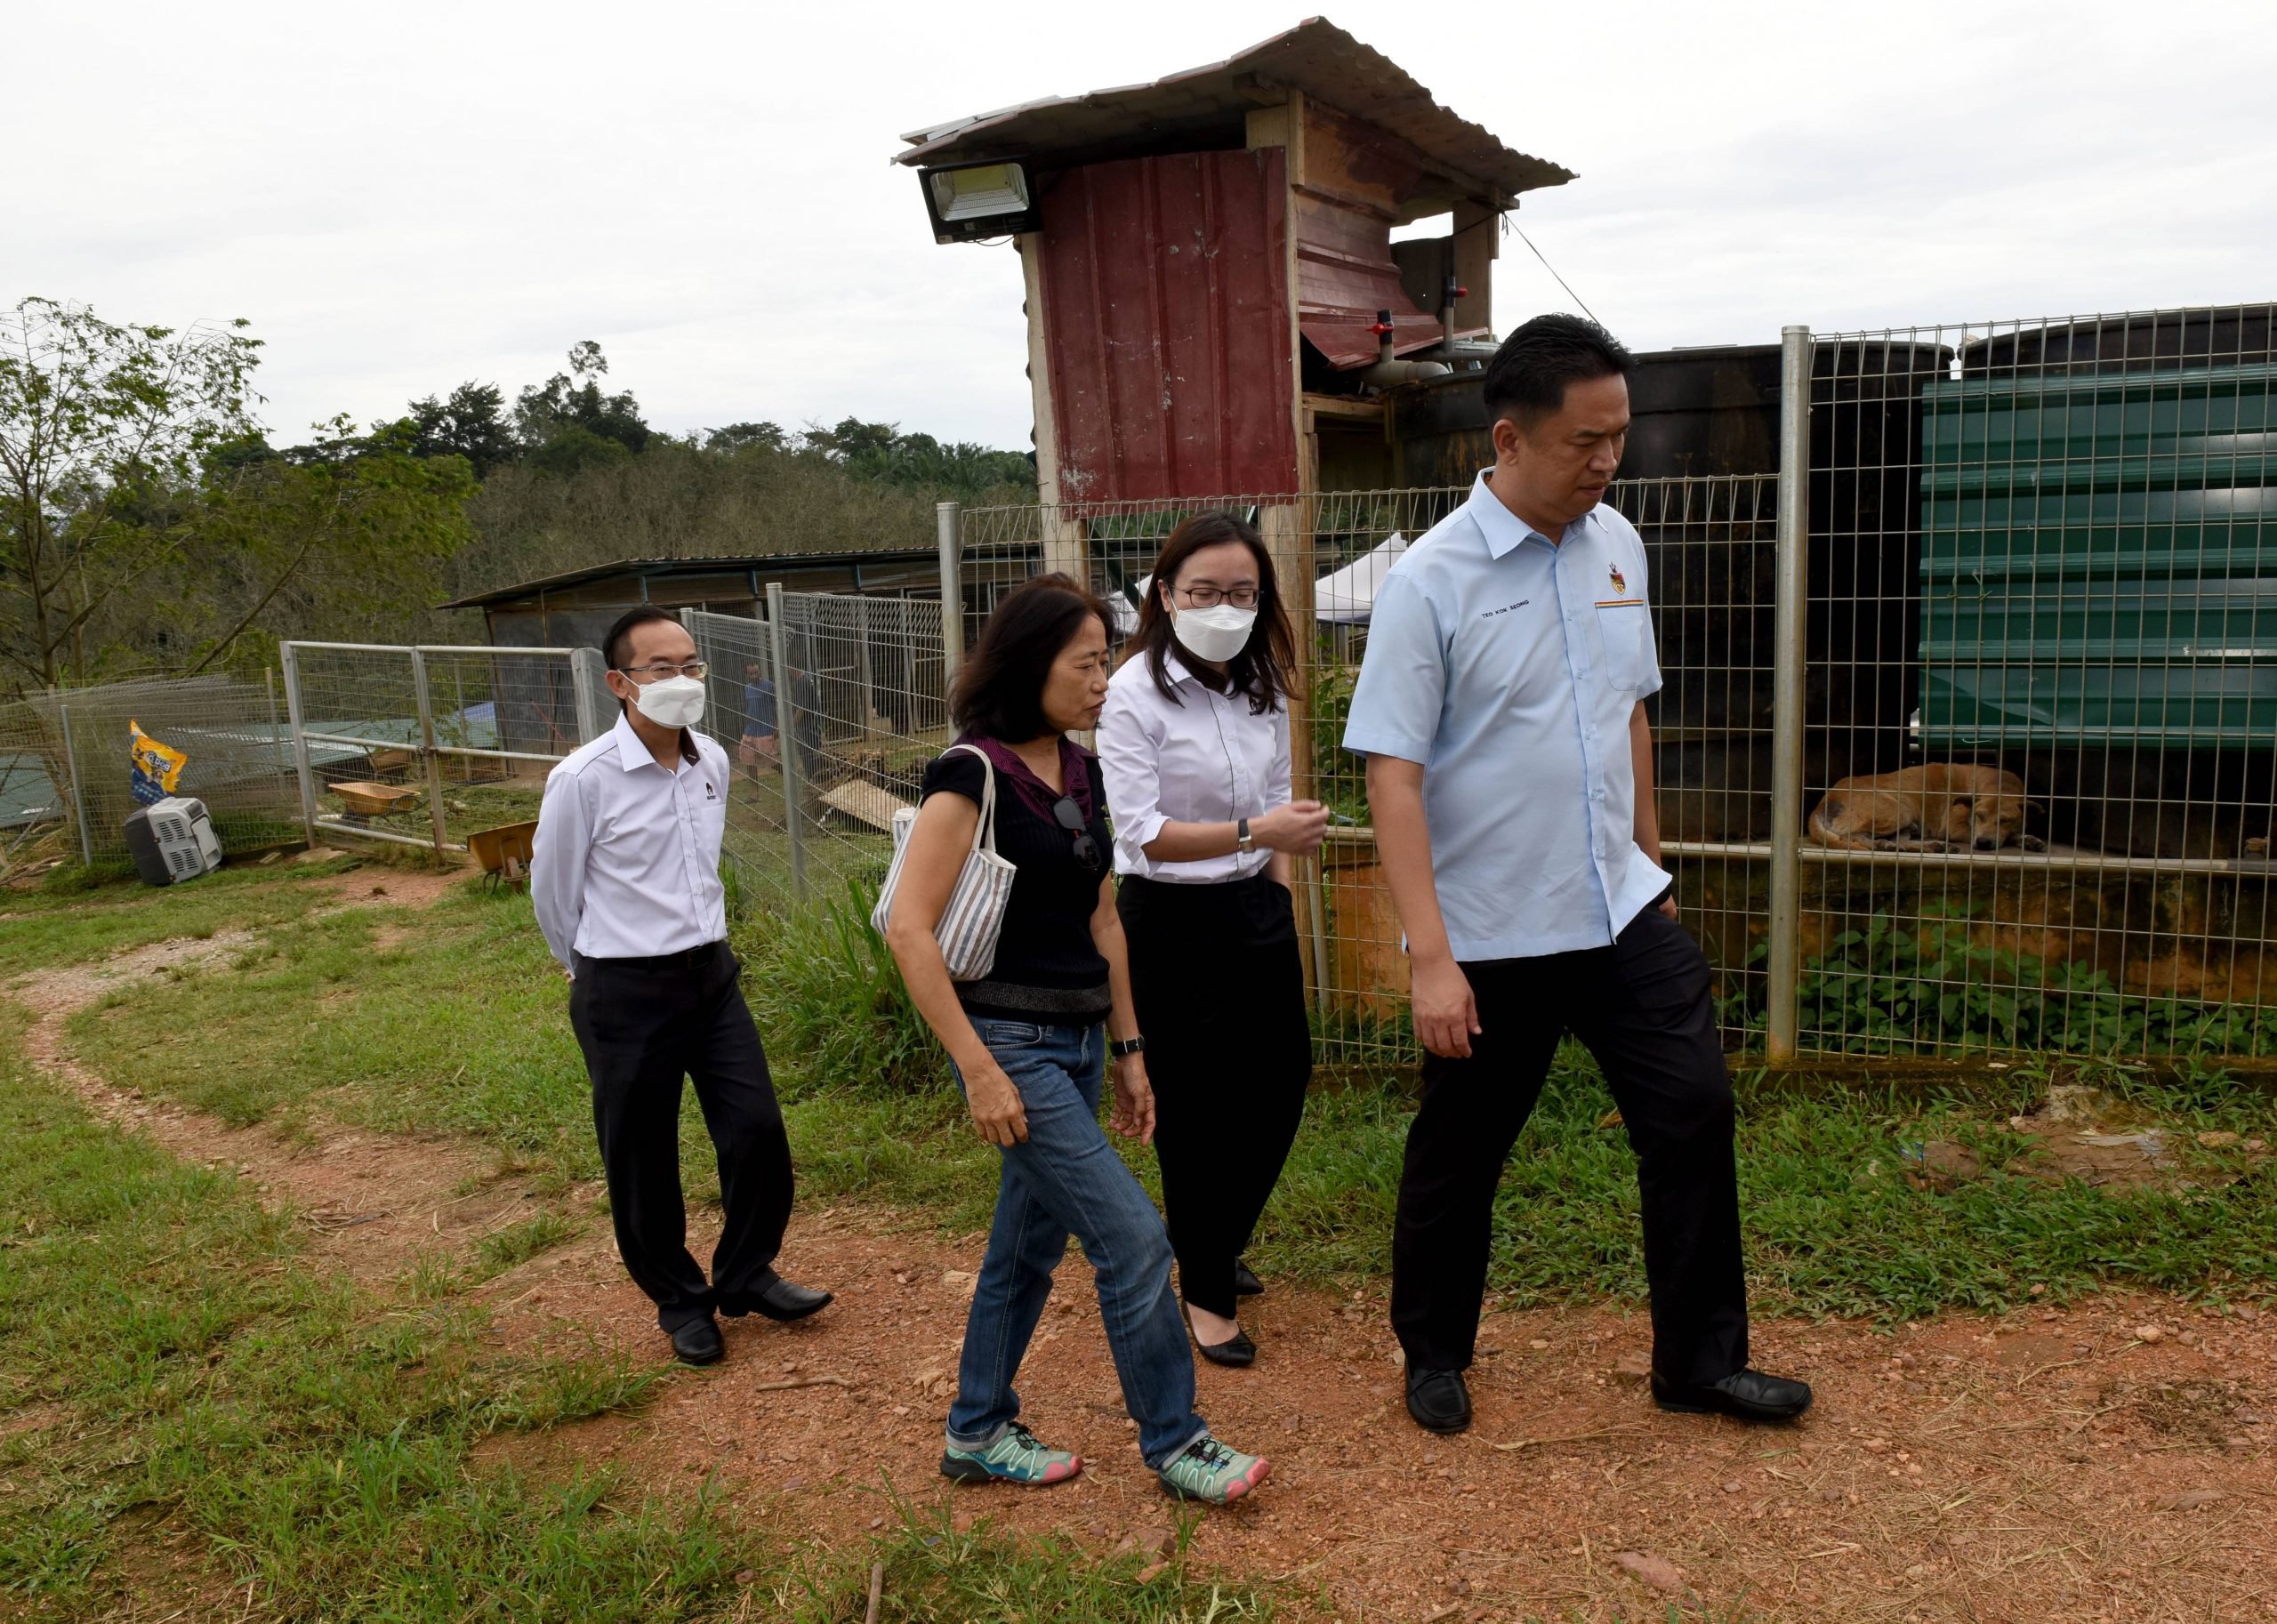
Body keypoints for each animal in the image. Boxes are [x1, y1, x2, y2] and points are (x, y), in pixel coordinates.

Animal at [1812, 765, 2049, 856]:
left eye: (2005, 820)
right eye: (1979, 816)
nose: (1982, 844)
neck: (1999, 785)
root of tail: (1828, 797)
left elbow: (2011, 834)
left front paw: (2028, 839)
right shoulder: (1955, 828)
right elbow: (2003, 837)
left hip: (1908, 821)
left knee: (1902, 844)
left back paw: (1934, 846)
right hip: (1900, 811)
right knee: (1852, 835)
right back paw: (1881, 844)